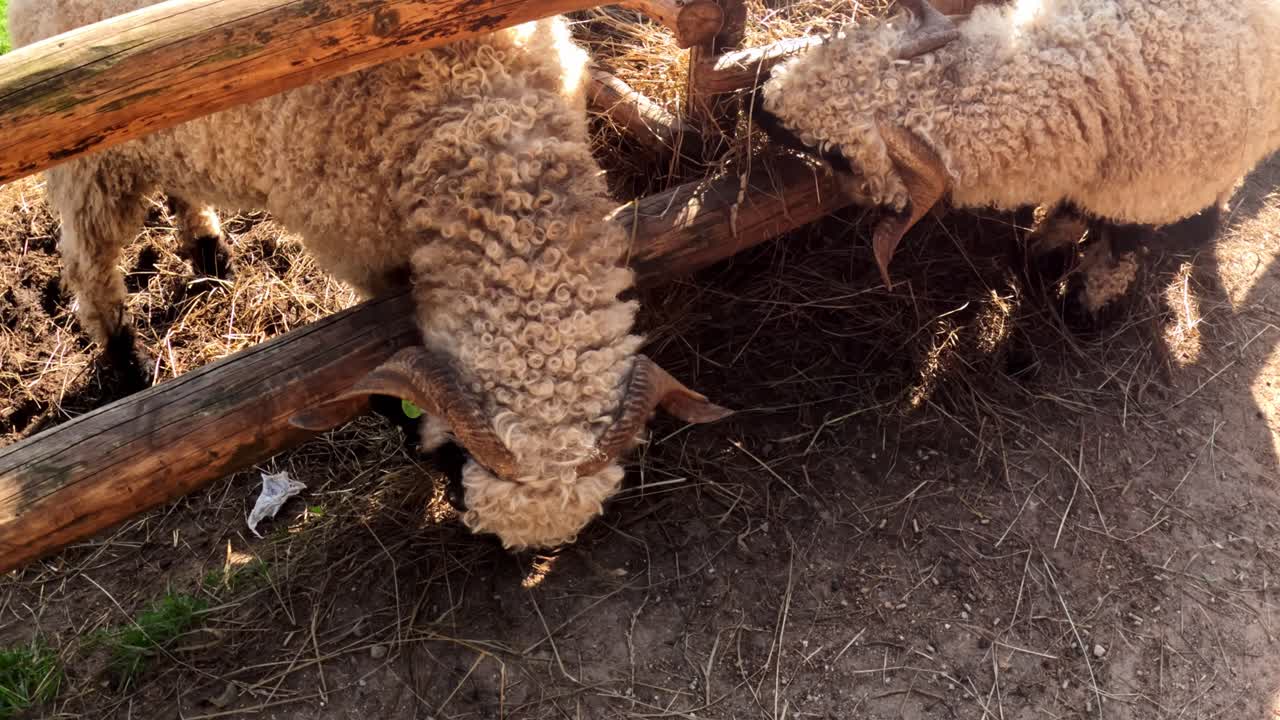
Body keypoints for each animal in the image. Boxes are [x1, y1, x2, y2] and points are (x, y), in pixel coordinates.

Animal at [9, 0, 733, 551]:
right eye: (458, 470)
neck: (471, 108)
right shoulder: (354, 242)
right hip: (88, 151)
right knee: (87, 260)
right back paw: (125, 360)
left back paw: (210, 250)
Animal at [750, 0, 1279, 312]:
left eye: (837, 154)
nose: (758, 107)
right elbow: (1073, 212)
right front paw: (1046, 248)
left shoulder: (1147, 193)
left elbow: (1122, 246)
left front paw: (1090, 300)